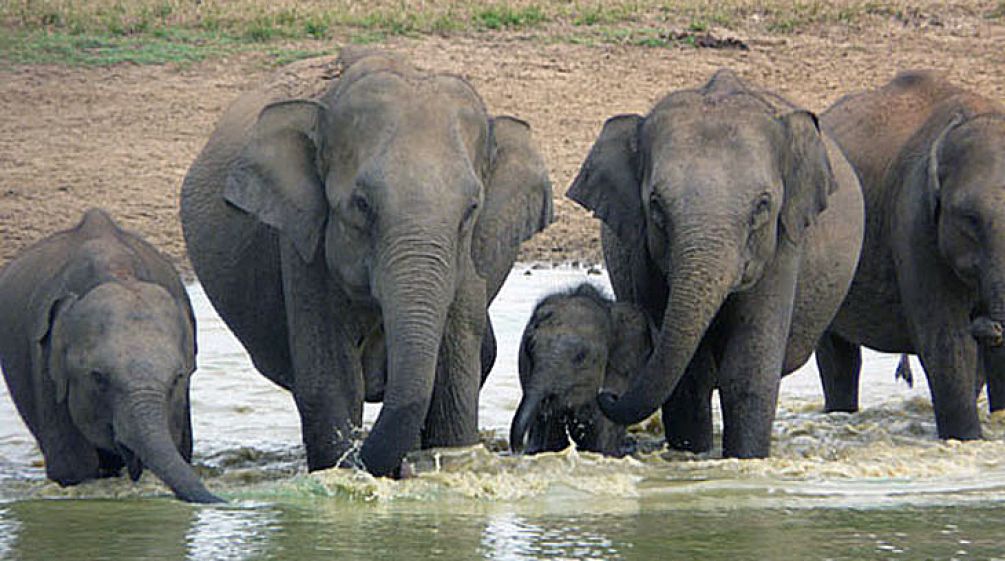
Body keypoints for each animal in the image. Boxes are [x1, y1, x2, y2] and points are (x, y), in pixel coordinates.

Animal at [182, 49, 558, 478]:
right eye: (361, 204)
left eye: (471, 210)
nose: (396, 469)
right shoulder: (303, 247)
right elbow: (330, 379)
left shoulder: (469, 262)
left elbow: (453, 380)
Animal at [566, 69, 864, 458]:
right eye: (656, 205)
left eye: (763, 205)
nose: (605, 395)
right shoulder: (643, 254)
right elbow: (689, 375)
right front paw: (692, 455)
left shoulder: (783, 247)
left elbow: (747, 369)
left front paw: (743, 460)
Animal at [816, 70, 1005, 440]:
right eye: (969, 219)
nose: (987, 324)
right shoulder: (914, 219)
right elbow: (947, 342)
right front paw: (966, 440)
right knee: (836, 355)